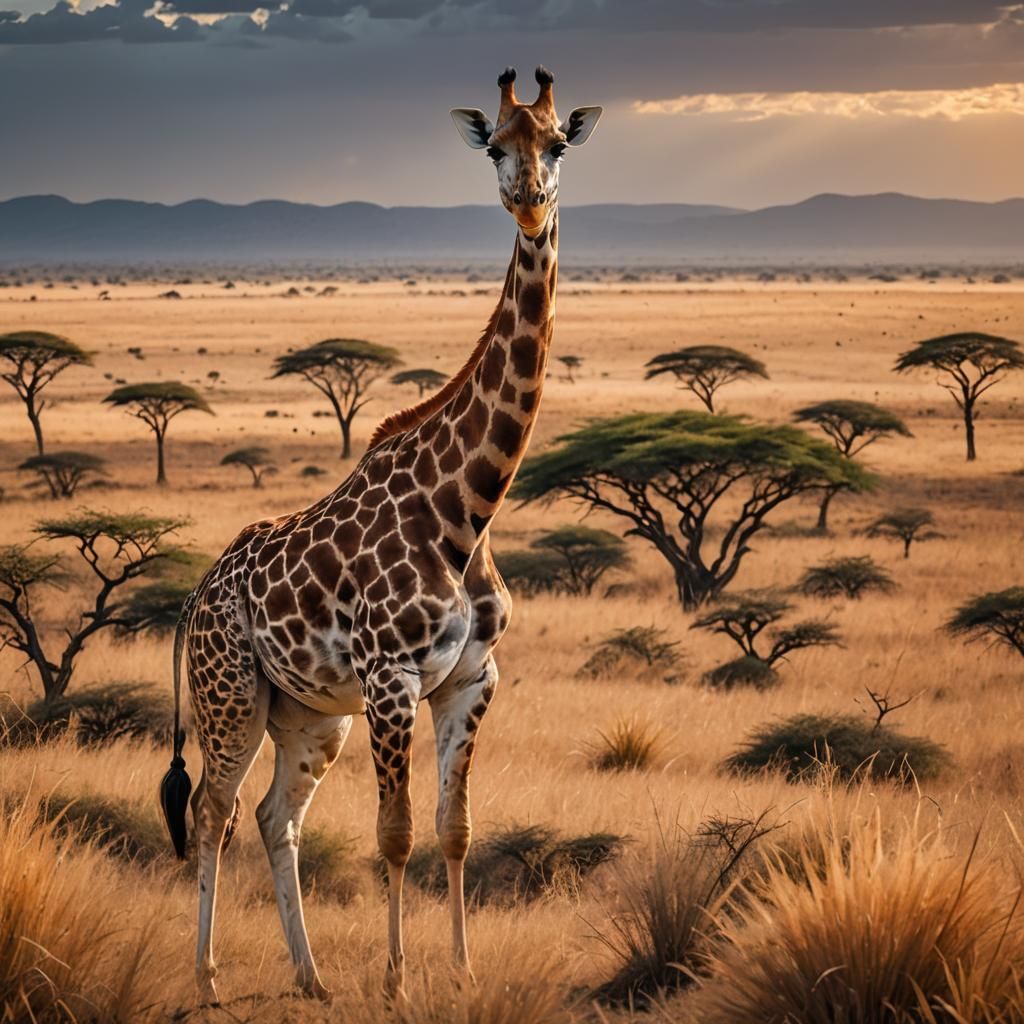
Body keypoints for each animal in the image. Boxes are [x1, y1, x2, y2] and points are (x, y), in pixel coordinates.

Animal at [160, 65, 602, 1005]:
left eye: (558, 143)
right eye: (494, 147)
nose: (529, 202)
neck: (468, 508)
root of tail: (197, 595)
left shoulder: (471, 678)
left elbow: (454, 827)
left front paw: (463, 971)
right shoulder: (390, 677)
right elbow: (394, 832)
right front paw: (398, 981)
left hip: (309, 715)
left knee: (273, 816)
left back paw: (312, 978)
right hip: (231, 696)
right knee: (214, 811)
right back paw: (208, 980)